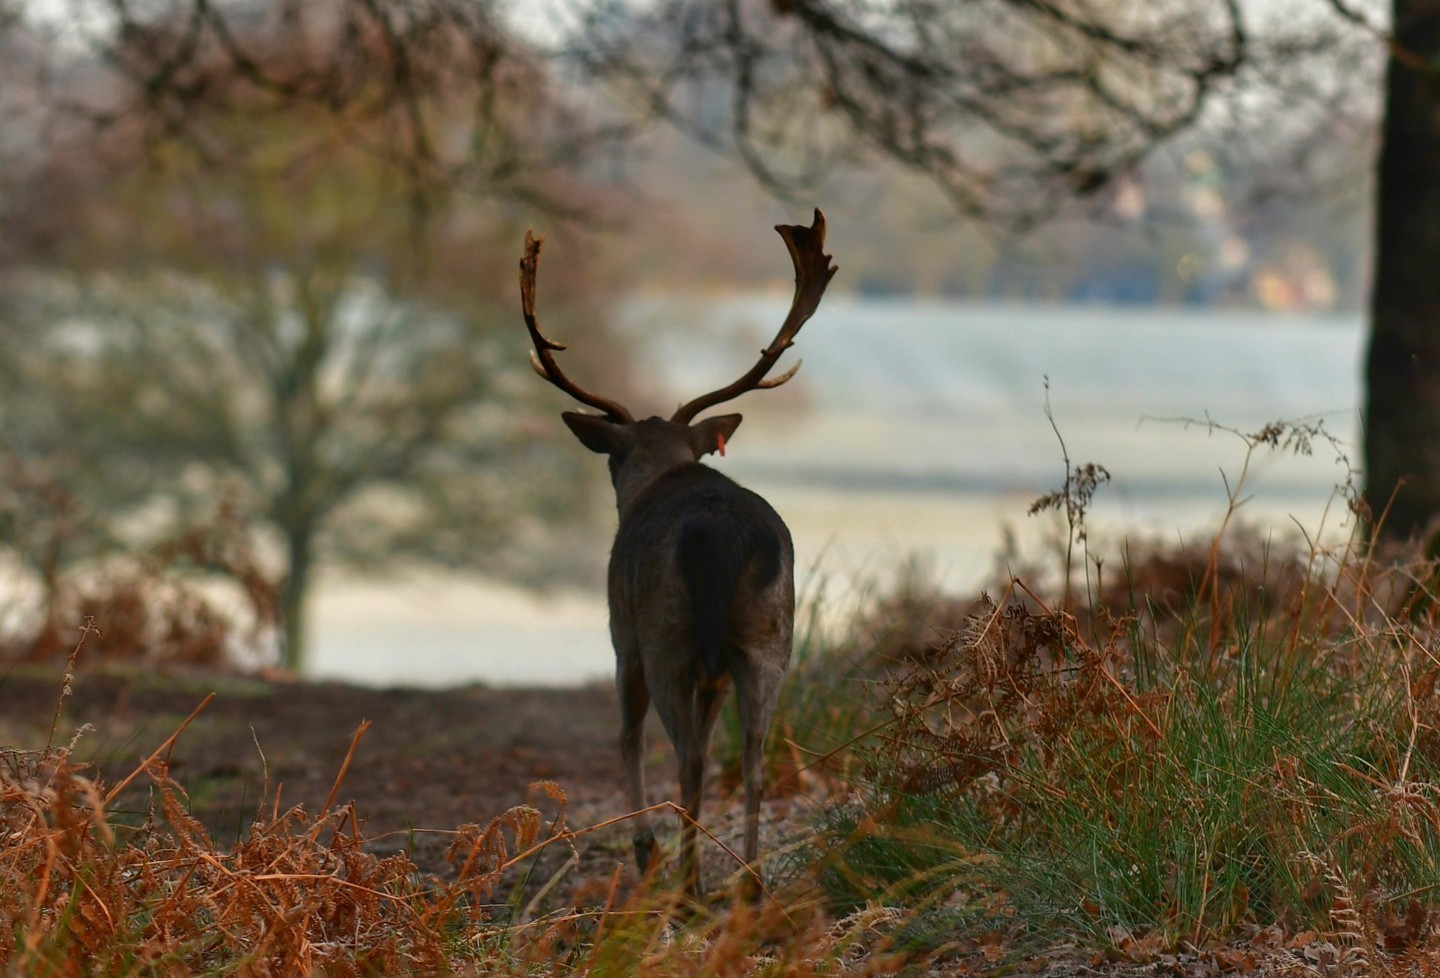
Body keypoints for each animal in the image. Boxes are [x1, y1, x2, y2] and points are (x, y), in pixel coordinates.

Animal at [517, 210, 837, 897]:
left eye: (613, 458)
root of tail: (720, 536)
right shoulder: (720, 669)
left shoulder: (623, 636)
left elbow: (627, 737)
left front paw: (644, 848)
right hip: (767, 639)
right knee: (750, 755)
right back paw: (747, 883)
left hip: (668, 636)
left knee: (686, 753)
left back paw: (687, 884)